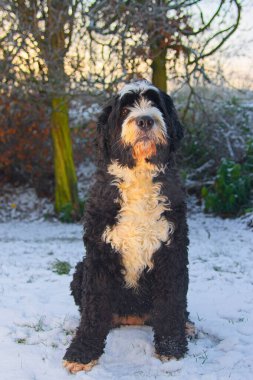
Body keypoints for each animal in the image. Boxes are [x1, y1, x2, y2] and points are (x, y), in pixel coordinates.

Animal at [63, 80, 192, 374]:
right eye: (124, 110)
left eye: (155, 104)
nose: (145, 120)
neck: (139, 178)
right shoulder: (99, 255)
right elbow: (93, 308)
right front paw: (81, 352)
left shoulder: (172, 253)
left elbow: (171, 303)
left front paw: (171, 349)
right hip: (80, 269)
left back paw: (188, 324)